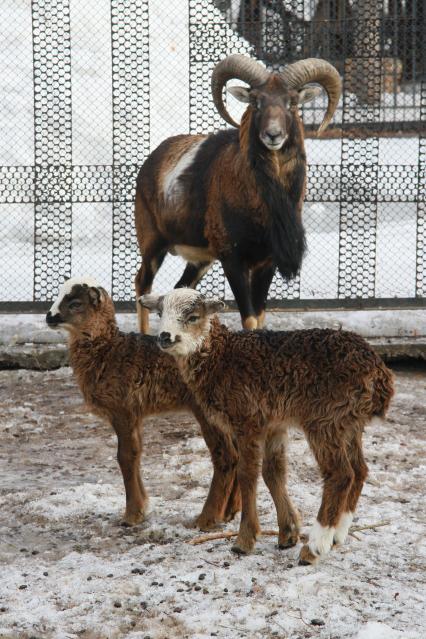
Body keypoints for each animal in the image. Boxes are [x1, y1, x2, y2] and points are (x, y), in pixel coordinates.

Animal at [47, 278, 241, 532]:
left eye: (75, 303)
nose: (49, 317)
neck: (108, 351)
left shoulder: (122, 408)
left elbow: (125, 456)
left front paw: (131, 516)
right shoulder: (134, 412)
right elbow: (137, 452)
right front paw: (142, 508)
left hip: (207, 410)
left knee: (226, 456)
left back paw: (207, 519)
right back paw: (231, 512)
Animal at [141, 290, 394, 564]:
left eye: (193, 317)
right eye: (159, 313)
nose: (164, 337)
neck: (220, 358)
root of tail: (380, 374)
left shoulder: (247, 419)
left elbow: (247, 473)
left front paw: (244, 541)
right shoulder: (275, 424)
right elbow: (273, 473)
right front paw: (287, 534)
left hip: (325, 419)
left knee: (340, 475)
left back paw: (315, 547)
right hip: (349, 423)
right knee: (359, 470)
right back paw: (337, 535)